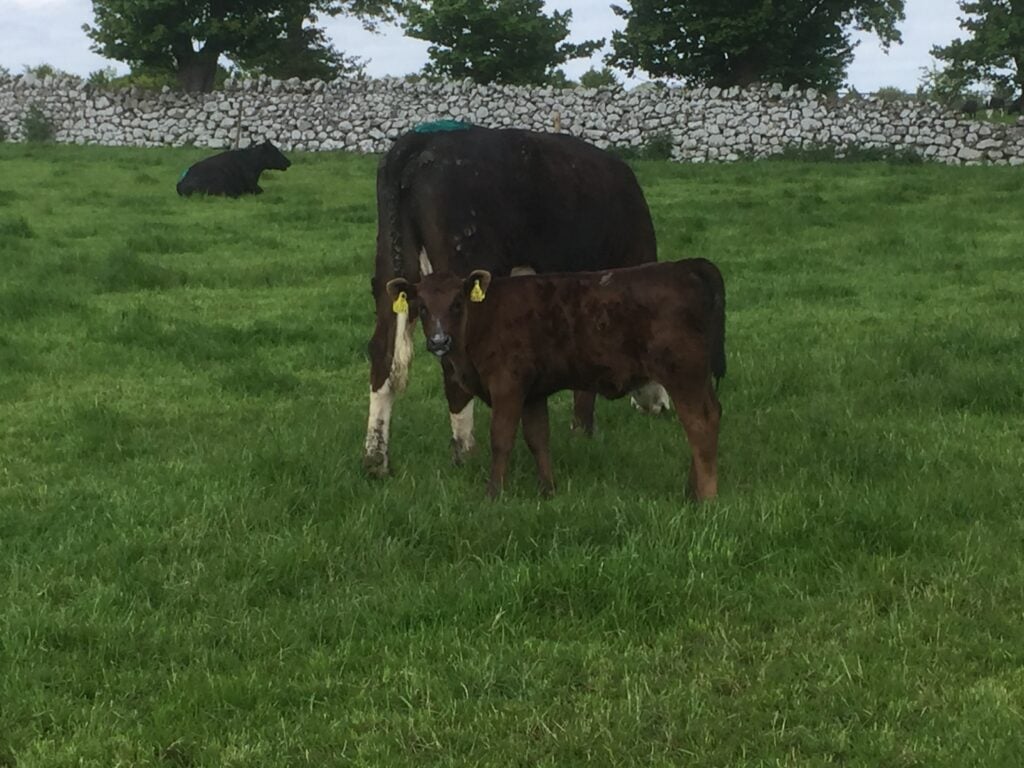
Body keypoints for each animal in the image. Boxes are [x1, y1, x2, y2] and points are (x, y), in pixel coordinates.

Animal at [364, 124, 659, 477]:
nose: (658, 407)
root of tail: (423, 139)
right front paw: (583, 432)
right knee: (450, 365)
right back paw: (466, 453)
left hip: (391, 271)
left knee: (383, 354)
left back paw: (376, 460)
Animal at [384, 258, 726, 501]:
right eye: (422, 307)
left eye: (457, 303)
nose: (439, 341)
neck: (483, 319)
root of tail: (685, 266)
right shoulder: (534, 392)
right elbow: (538, 438)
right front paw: (547, 490)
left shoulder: (508, 385)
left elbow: (502, 438)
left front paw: (493, 493)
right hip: (696, 377)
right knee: (709, 415)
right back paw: (692, 490)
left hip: (683, 373)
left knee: (700, 422)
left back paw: (705, 497)